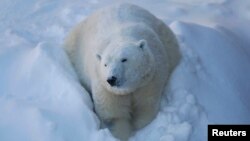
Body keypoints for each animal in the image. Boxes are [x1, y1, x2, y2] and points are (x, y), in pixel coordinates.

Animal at [63, 2, 181, 140]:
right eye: (105, 64)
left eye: (124, 59)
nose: (112, 79)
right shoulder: (105, 88)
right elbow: (114, 116)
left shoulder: (148, 81)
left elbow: (146, 106)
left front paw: (136, 125)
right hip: (74, 46)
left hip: (166, 38)